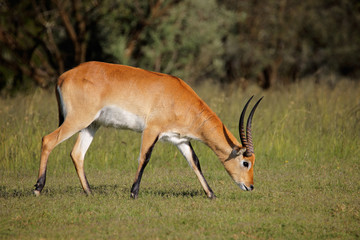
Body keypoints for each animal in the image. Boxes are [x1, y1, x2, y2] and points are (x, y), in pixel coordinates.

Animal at [33, 62, 262, 199]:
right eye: (246, 162)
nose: (250, 186)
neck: (178, 97)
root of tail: (63, 77)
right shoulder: (152, 130)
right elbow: (144, 158)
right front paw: (133, 193)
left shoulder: (179, 139)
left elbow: (195, 162)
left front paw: (211, 194)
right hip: (78, 120)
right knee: (48, 140)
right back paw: (37, 188)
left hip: (91, 125)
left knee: (77, 154)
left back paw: (89, 192)